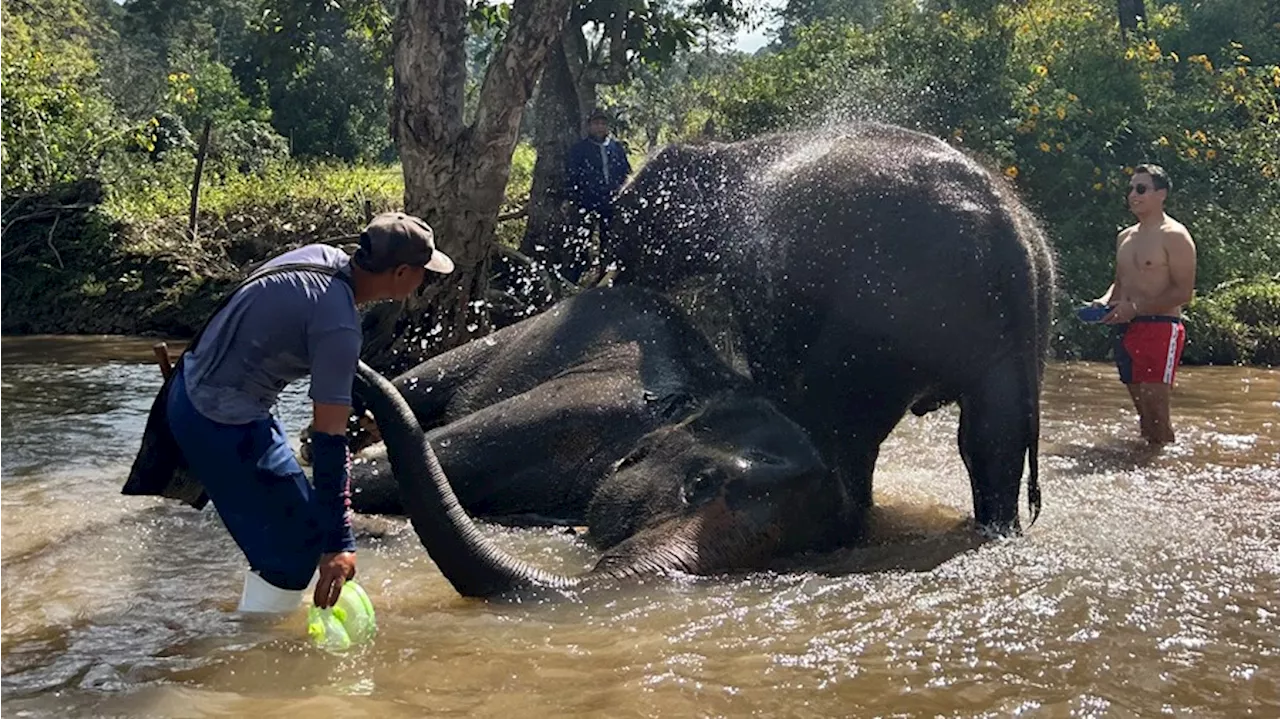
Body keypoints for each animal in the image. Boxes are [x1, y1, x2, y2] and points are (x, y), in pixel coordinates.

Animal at [604, 121, 1054, 532]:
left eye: (632, 216)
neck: (725, 151)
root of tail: (1007, 236)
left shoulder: (757, 265)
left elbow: (771, 361)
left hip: (884, 316)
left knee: (850, 429)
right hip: (1009, 333)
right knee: (990, 437)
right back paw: (995, 528)